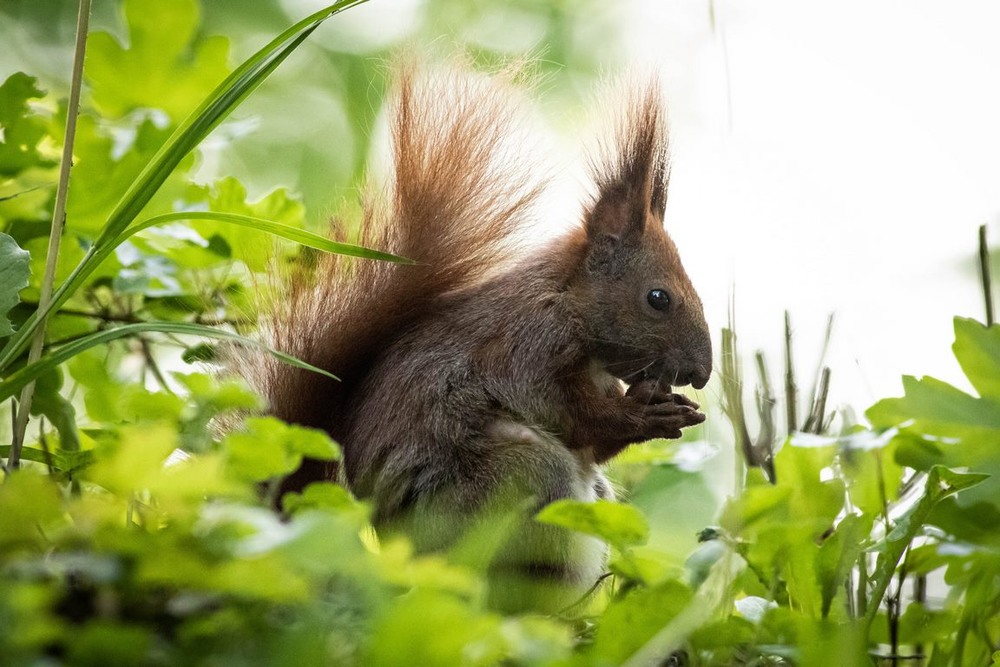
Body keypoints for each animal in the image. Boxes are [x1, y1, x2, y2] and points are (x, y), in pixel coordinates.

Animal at [239, 62, 716, 612]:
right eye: (658, 298)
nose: (703, 373)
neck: (564, 301)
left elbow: (593, 444)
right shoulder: (525, 347)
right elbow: (570, 415)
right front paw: (647, 414)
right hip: (517, 477)